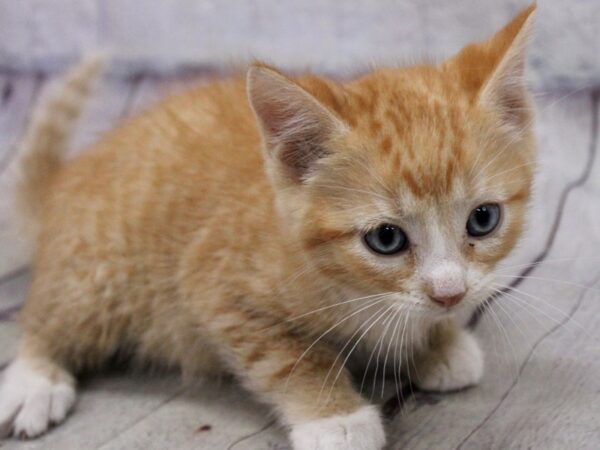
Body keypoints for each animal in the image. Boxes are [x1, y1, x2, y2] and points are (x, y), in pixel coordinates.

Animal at [0, 4, 536, 450]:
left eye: (483, 219)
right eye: (386, 239)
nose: (449, 294)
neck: (350, 290)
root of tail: (64, 178)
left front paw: (438, 342)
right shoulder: (214, 287)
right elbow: (289, 357)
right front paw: (335, 418)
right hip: (96, 271)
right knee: (45, 318)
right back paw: (34, 381)